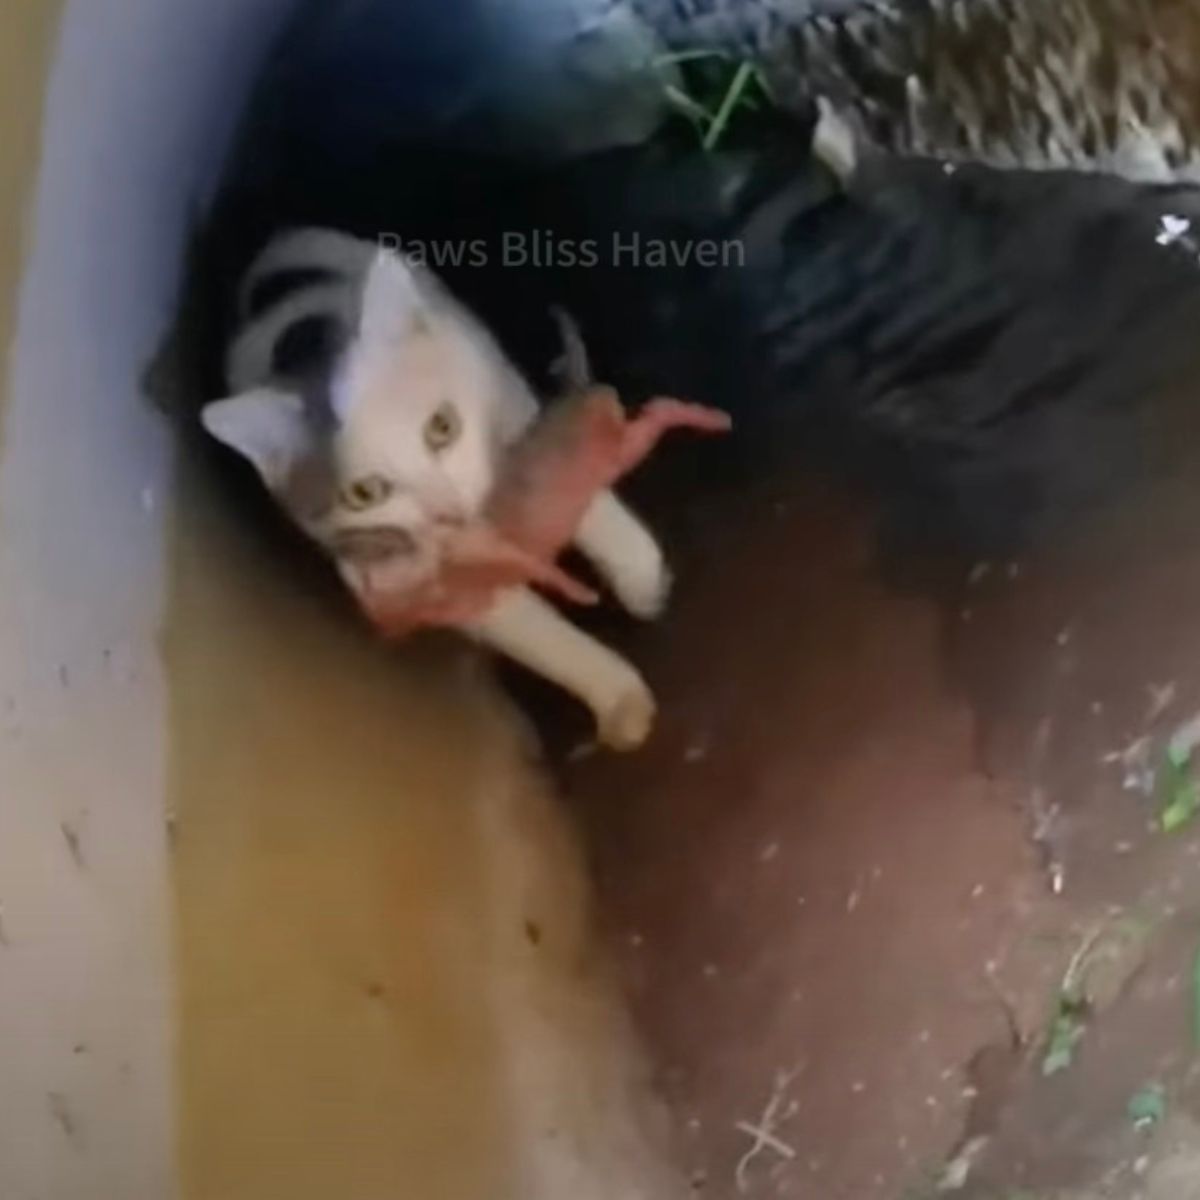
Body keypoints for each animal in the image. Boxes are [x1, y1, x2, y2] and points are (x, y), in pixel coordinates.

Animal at [199, 228, 667, 744]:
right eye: (364, 493)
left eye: (442, 427)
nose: (449, 509)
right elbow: (529, 630)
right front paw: (618, 699)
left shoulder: (508, 400)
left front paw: (642, 577)